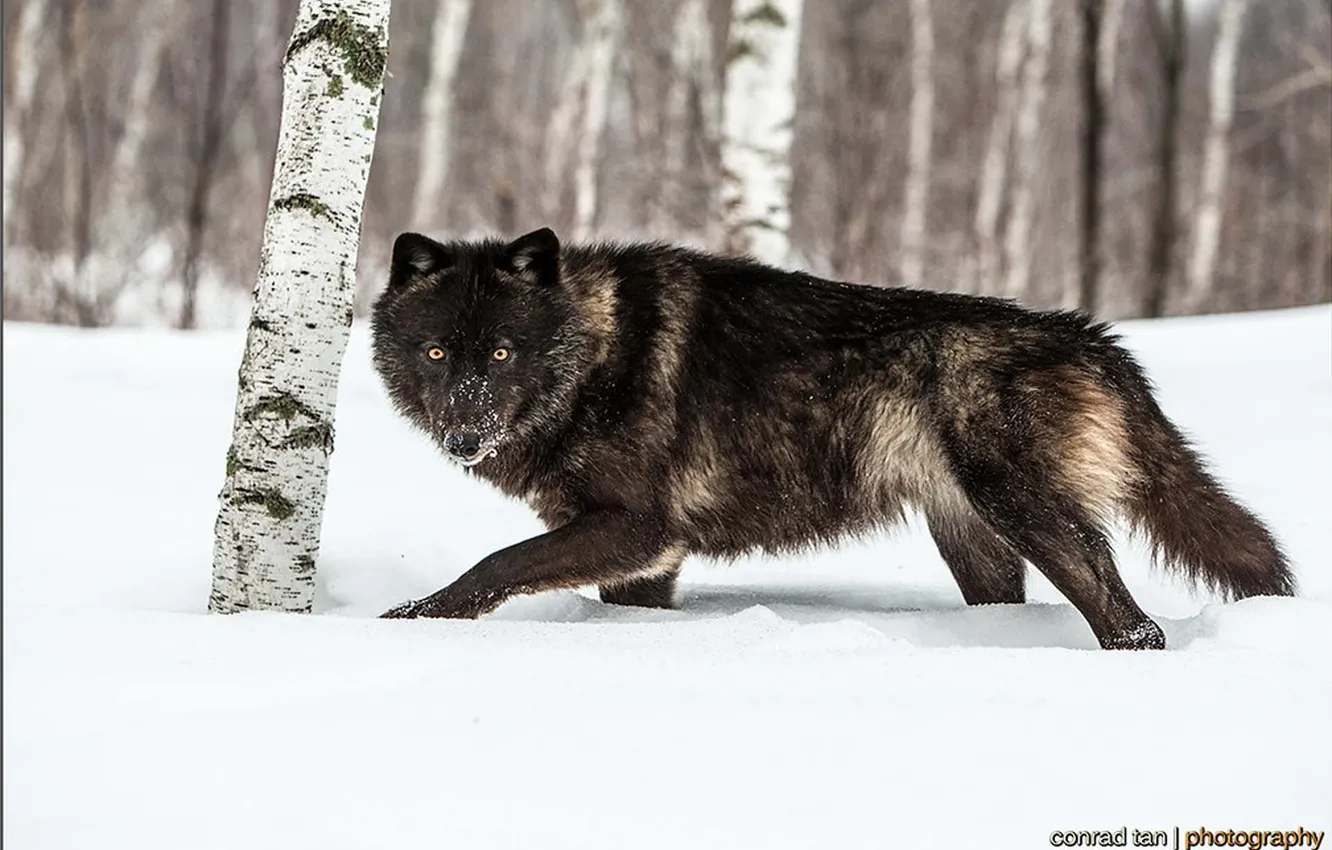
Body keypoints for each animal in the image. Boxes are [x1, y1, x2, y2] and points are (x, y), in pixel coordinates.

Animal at [370, 227, 1293, 649]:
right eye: (437, 352)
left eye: (501, 352)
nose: (463, 433)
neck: (596, 353)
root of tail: (1094, 339)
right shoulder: (645, 560)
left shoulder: (634, 528)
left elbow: (495, 564)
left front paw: (410, 619)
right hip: (975, 541)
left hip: (1031, 515)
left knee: (1134, 625)